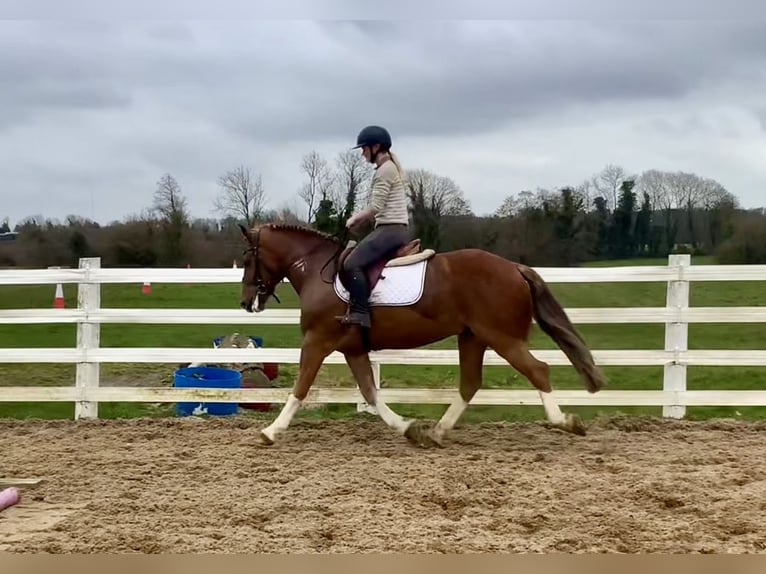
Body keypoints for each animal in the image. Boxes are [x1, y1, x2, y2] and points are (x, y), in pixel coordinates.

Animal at [238, 221, 606, 448]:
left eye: (247, 258)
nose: (245, 302)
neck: (318, 270)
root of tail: (514, 267)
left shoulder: (317, 342)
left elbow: (300, 388)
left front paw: (270, 431)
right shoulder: (353, 350)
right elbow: (370, 393)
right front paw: (409, 428)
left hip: (503, 339)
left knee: (538, 370)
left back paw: (564, 421)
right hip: (473, 337)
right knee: (470, 383)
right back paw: (437, 432)